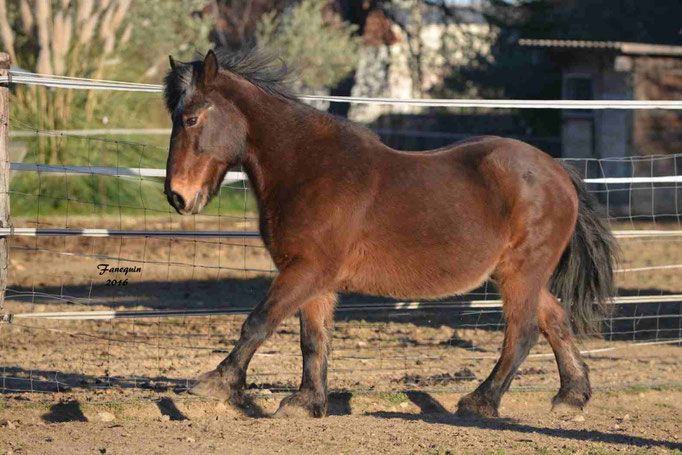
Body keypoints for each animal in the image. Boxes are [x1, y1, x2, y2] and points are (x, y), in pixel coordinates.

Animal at [162, 48, 612, 418]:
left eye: (191, 118)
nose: (177, 196)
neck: (309, 169)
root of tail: (559, 172)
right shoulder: (313, 279)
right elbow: (313, 340)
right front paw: (307, 402)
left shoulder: (305, 271)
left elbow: (258, 322)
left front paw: (216, 382)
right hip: (517, 273)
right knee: (555, 321)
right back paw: (572, 396)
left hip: (521, 271)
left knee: (522, 332)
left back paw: (480, 402)